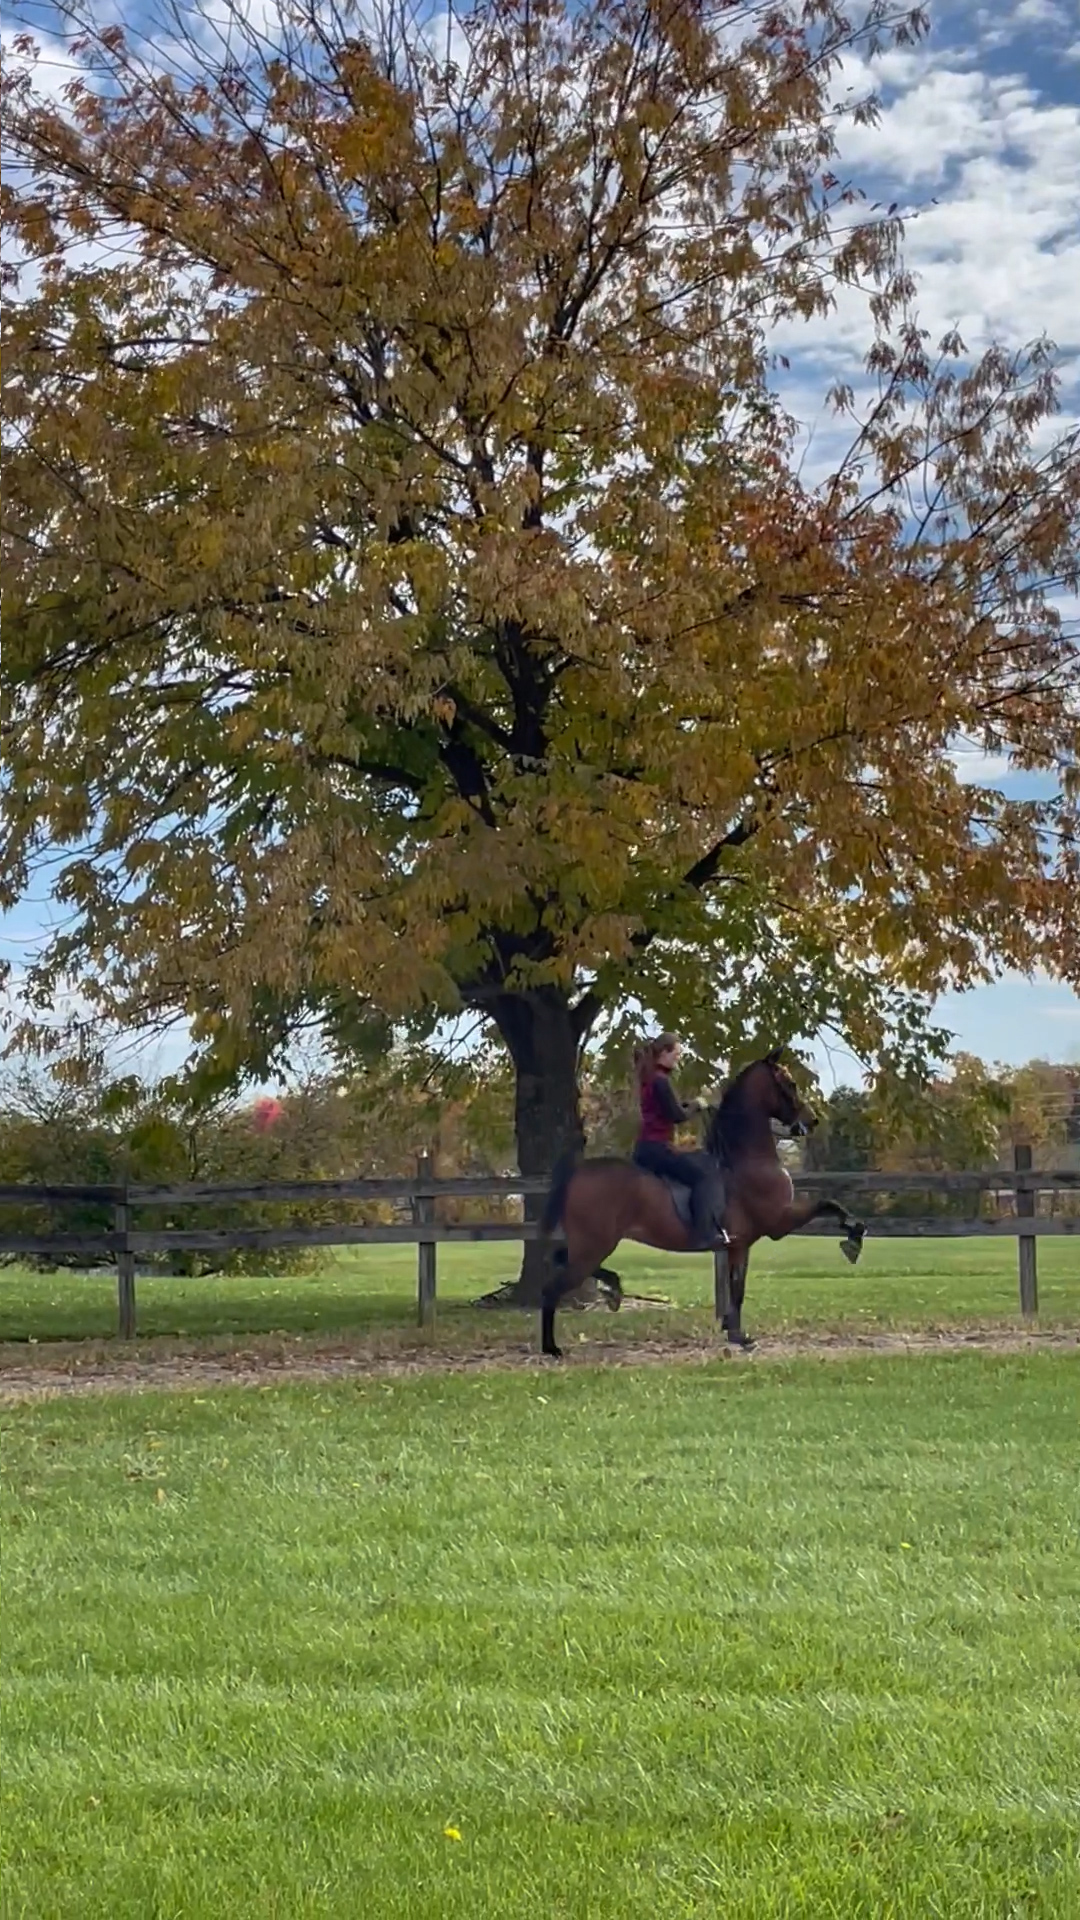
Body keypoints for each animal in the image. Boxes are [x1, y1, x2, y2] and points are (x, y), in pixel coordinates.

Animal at [538, 1059, 864, 1359]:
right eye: (790, 1083)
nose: (812, 1120)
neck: (747, 1161)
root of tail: (578, 1173)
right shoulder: (778, 1223)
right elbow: (828, 1205)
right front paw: (853, 1240)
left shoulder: (741, 1245)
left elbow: (737, 1288)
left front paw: (734, 1332)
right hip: (595, 1244)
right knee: (553, 1286)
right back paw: (552, 1347)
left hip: (589, 1243)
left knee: (561, 1259)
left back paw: (613, 1290)